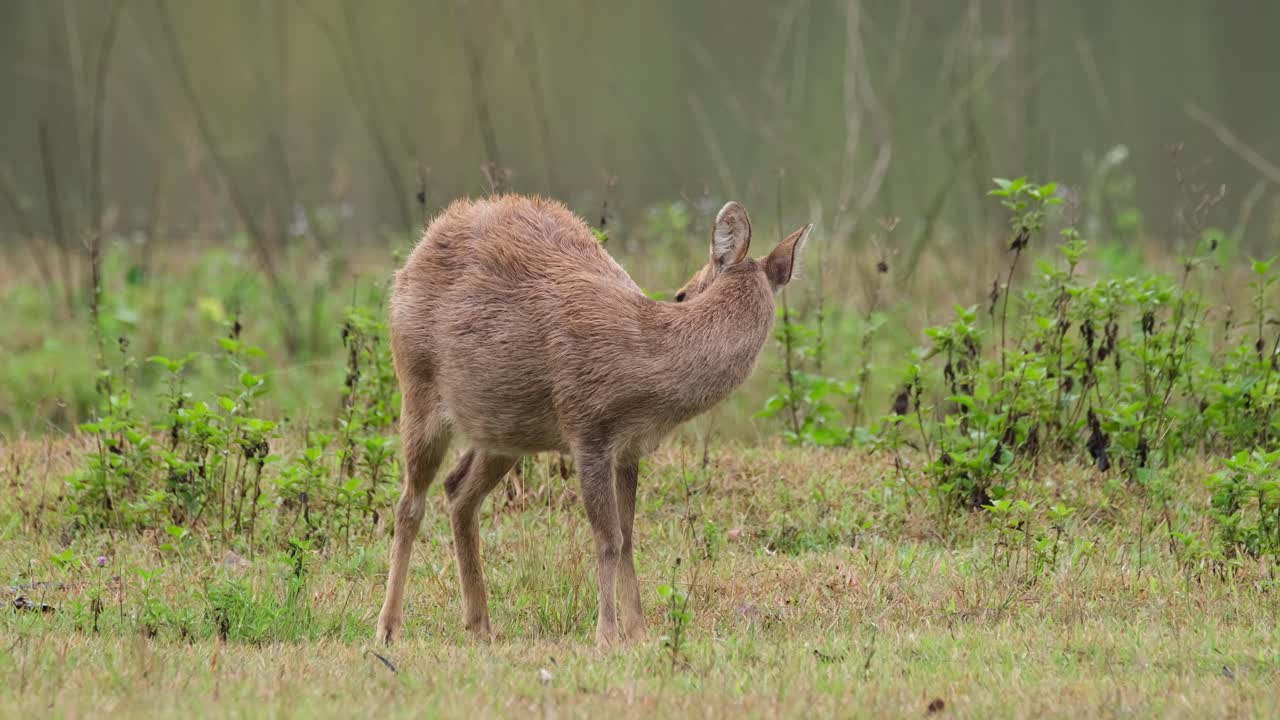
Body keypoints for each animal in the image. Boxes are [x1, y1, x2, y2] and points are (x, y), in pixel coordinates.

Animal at [376, 194, 811, 645]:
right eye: (680, 294)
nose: (681, 292)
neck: (648, 364)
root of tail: (420, 247)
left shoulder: (631, 447)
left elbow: (628, 537)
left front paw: (638, 631)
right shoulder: (588, 431)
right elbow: (607, 539)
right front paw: (607, 634)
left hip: (504, 427)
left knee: (459, 491)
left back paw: (480, 624)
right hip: (418, 385)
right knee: (409, 504)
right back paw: (388, 627)